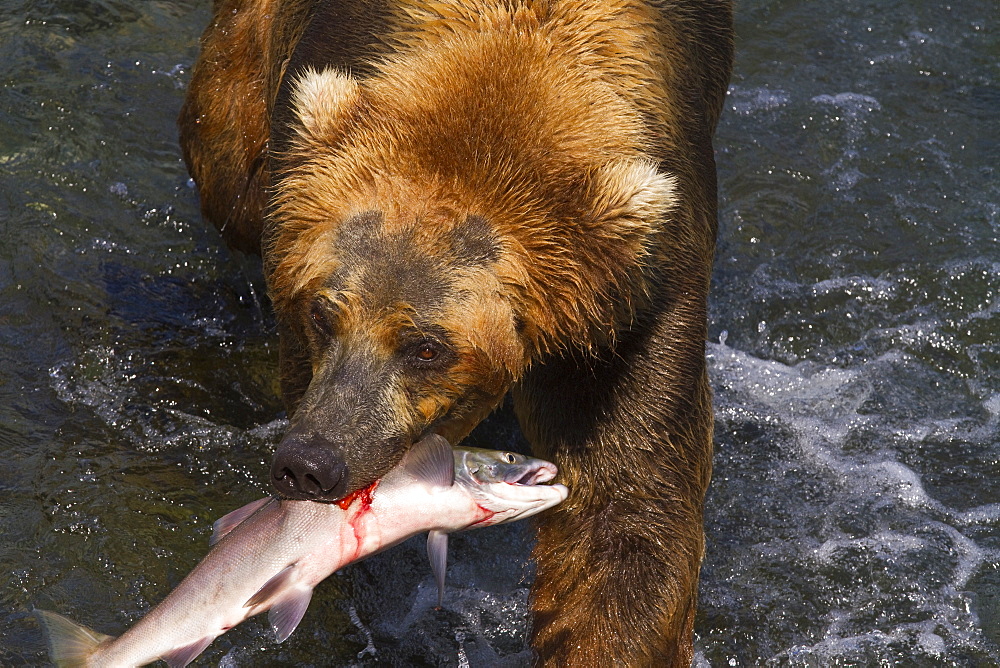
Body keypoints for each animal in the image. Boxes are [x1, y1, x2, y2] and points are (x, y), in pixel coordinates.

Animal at [180, 0, 732, 664]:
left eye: (427, 347)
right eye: (323, 314)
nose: (310, 462)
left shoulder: (635, 306)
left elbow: (627, 510)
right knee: (227, 164)